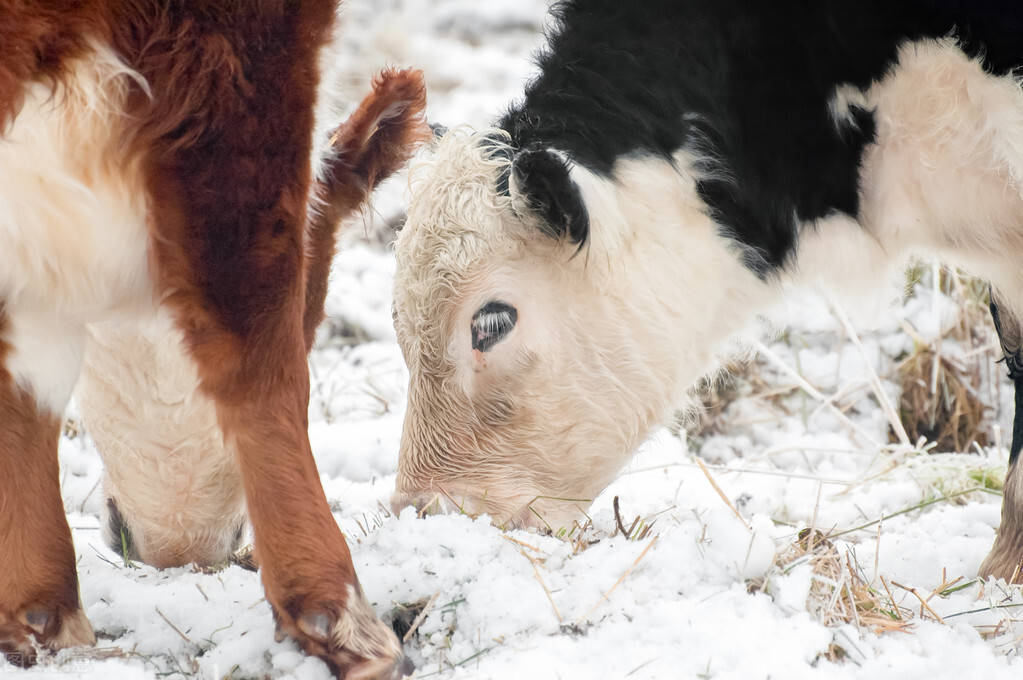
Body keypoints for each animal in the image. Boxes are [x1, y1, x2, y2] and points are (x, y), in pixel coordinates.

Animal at [0, 2, 427, 674]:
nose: (188, 551)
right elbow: (259, 347)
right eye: (311, 319)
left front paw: (40, 609)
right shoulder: (244, 73)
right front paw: (337, 613)